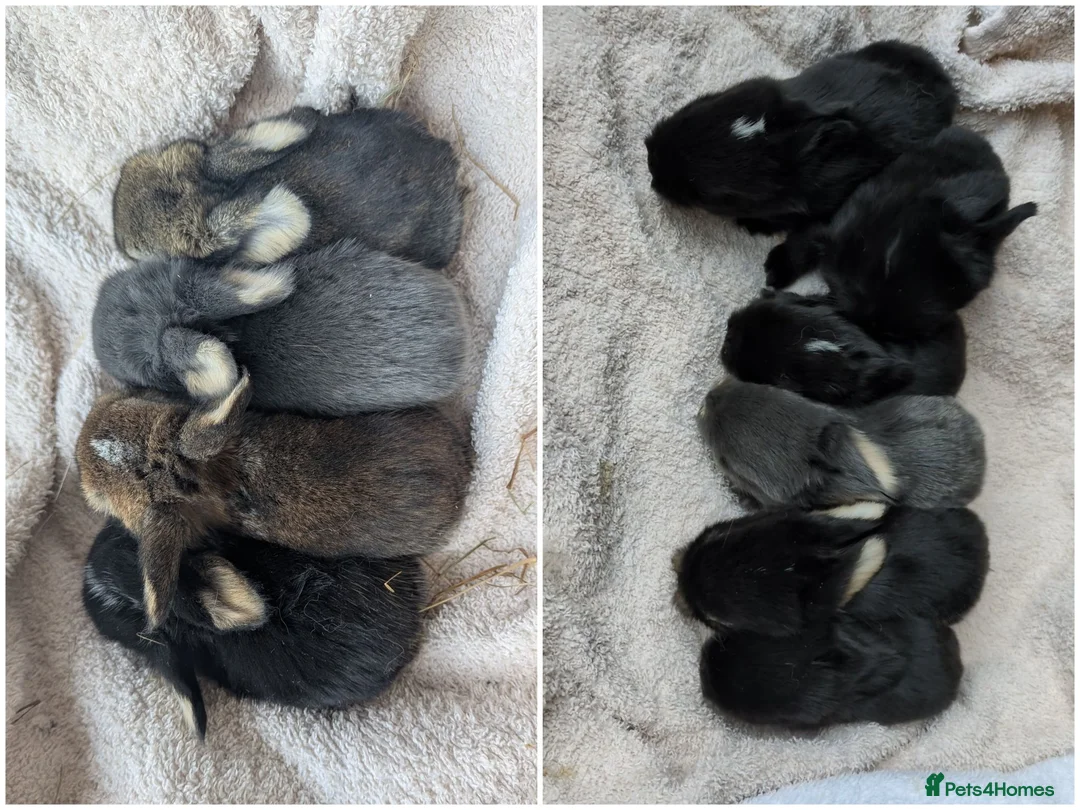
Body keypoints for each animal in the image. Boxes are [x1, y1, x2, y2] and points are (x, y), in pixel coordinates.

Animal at [764, 127, 1037, 339]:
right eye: (888, 261)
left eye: (936, 313)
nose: (870, 321)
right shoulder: (834, 226)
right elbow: (806, 241)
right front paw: (775, 271)